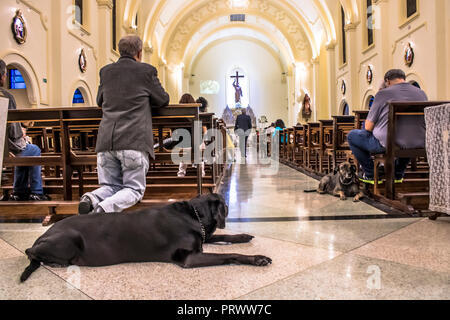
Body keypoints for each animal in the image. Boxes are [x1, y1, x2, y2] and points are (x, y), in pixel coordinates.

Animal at [20, 192, 270, 282]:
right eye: (225, 205)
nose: (228, 207)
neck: (193, 214)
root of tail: (43, 235)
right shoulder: (189, 257)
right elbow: (229, 254)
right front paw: (257, 258)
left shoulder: (202, 236)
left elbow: (224, 238)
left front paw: (244, 235)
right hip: (69, 239)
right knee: (29, 252)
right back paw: (54, 261)